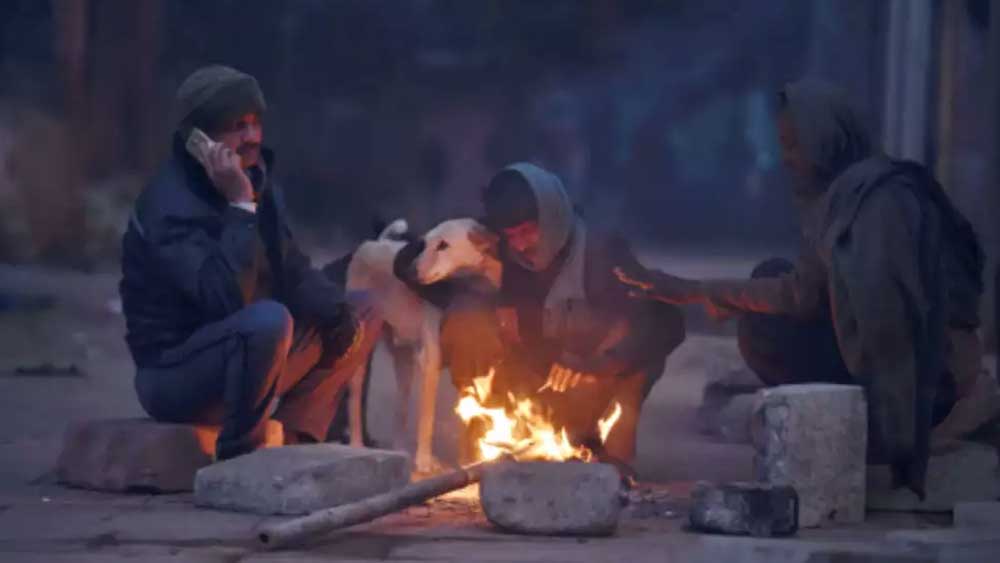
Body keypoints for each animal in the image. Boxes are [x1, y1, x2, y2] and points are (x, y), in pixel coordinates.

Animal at [344, 218, 500, 474]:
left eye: (443, 245)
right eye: (425, 243)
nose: (409, 271)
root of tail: (375, 243)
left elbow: (469, 412)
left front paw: (468, 459)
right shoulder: (430, 360)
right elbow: (427, 418)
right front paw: (425, 461)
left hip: (404, 360)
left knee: (400, 409)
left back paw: (399, 450)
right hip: (363, 354)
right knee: (355, 399)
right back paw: (357, 445)